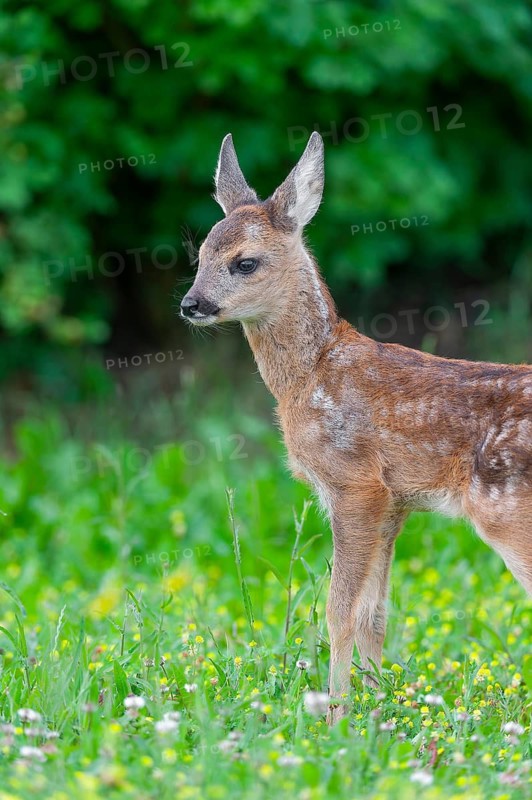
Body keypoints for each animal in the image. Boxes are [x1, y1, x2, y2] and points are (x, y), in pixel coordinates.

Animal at [180, 132, 532, 724]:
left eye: (245, 263)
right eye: (200, 255)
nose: (191, 304)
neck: (313, 373)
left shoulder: (355, 483)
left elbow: (337, 610)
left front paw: (334, 713)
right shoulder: (395, 503)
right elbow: (375, 614)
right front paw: (375, 703)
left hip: (506, 512)